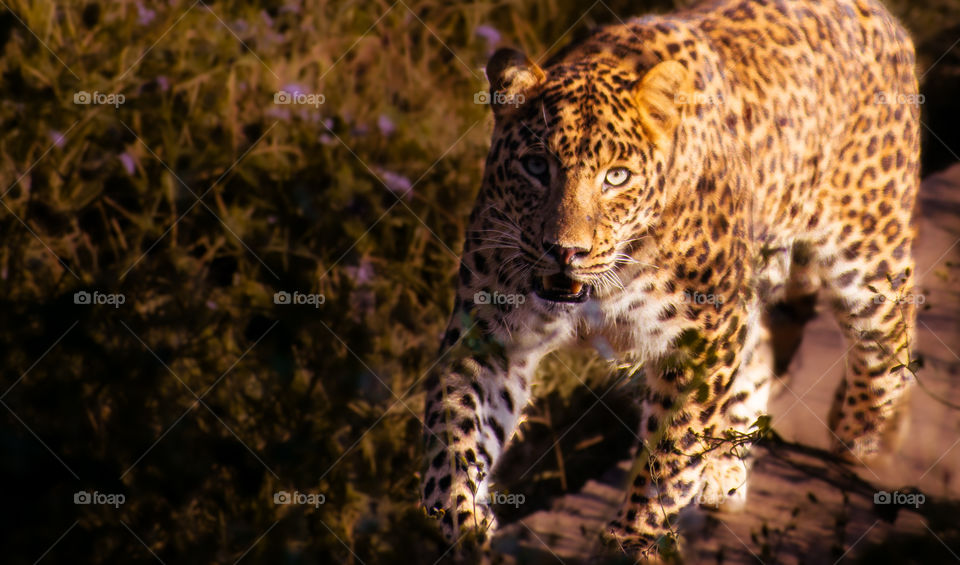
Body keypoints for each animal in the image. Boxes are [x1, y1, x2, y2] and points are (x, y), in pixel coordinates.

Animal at [420, 0, 920, 559]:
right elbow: (455, 429)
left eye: (616, 177)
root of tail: (880, 15)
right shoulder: (490, 333)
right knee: (763, 348)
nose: (565, 251)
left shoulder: (702, 337)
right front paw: (462, 522)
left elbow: (671, 453)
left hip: (864, 242)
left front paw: (633, 538)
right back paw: (728, 470)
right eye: (535, 166)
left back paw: (864, 436)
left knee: (889, 327)